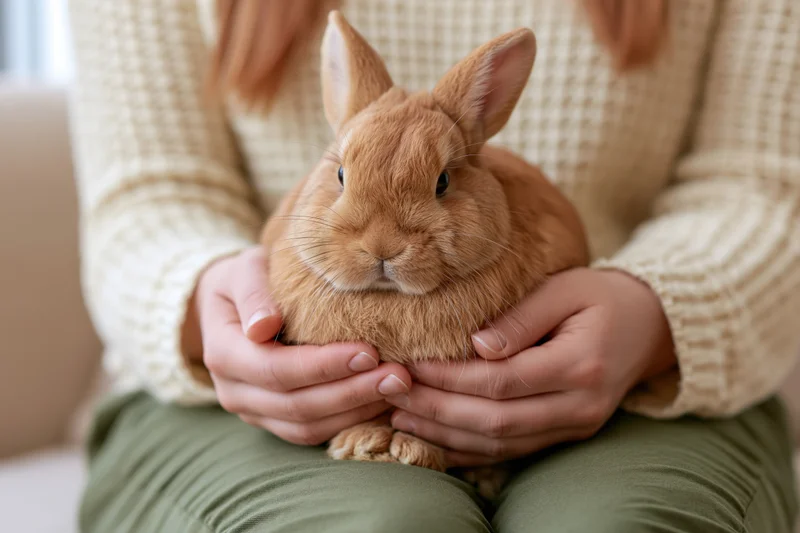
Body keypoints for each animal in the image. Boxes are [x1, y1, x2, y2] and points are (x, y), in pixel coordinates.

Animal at [261, 10, 589, 498]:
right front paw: (362, 444)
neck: (389, 299)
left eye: (443, 182)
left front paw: (411, 452)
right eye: (340, 174)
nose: (382, 247)